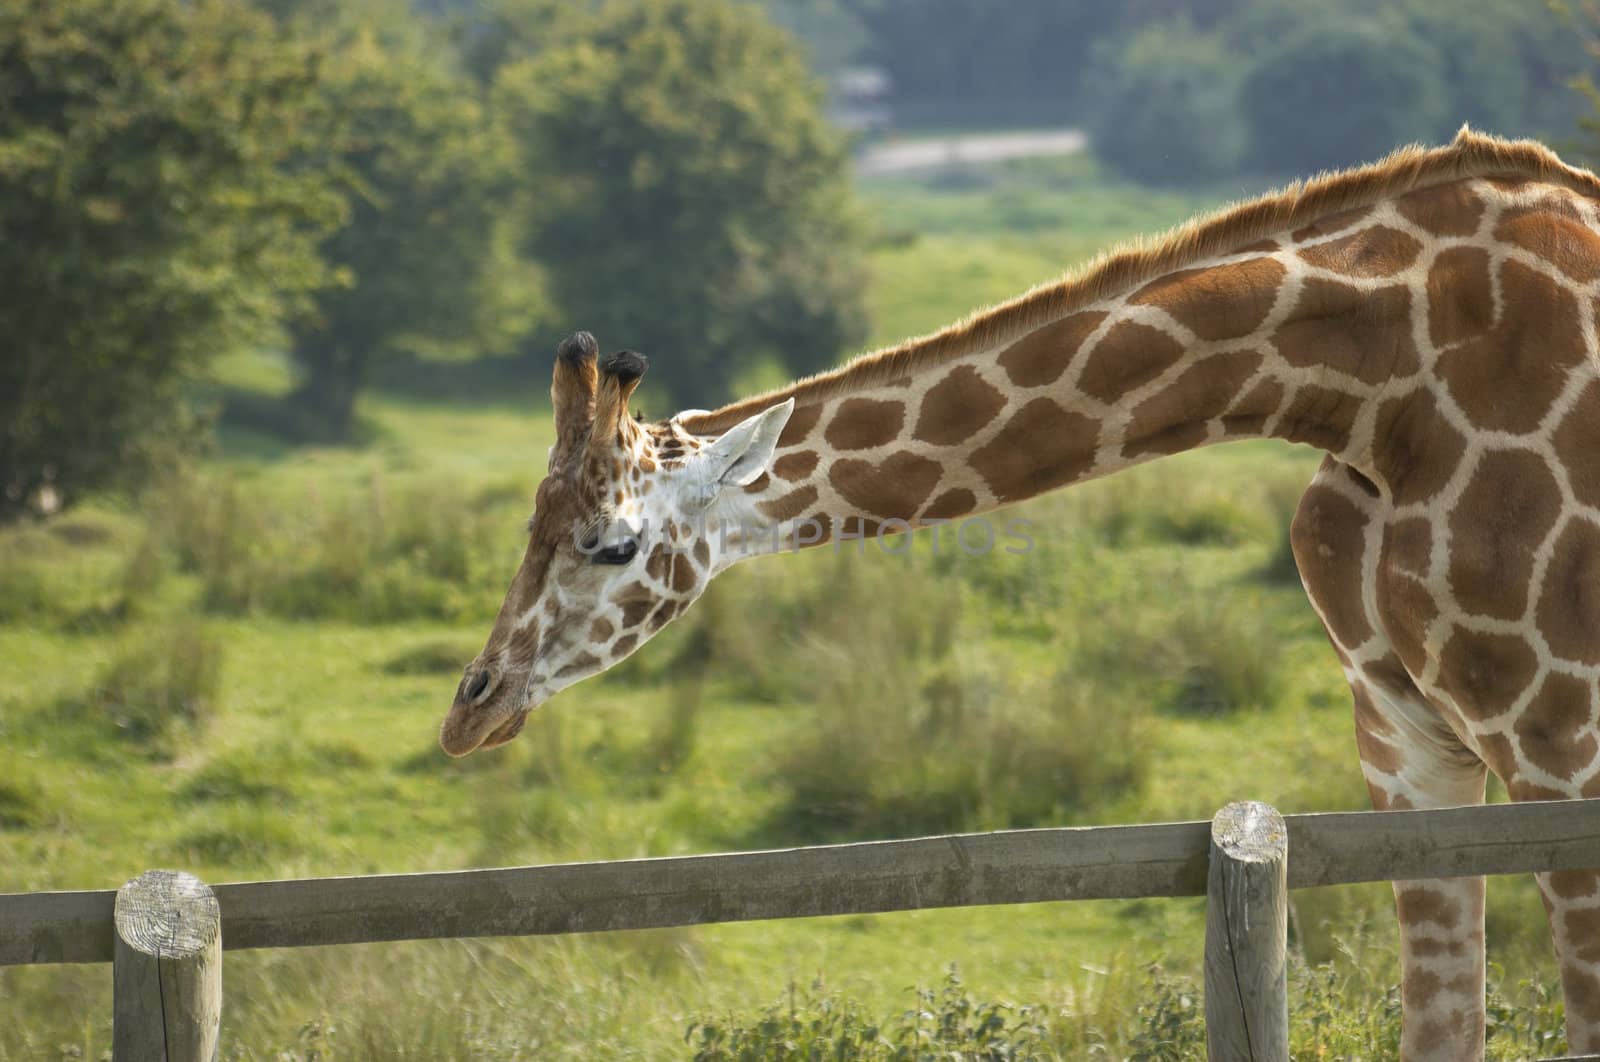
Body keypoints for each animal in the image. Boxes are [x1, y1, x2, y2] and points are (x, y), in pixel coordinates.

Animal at [441, 128, 1600, 1055]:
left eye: (614, 544)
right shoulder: (1405, 748)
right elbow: (1443, 1027)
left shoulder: (1562, 749)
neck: (1378, 384)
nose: (471, 709)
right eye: (532, 521)